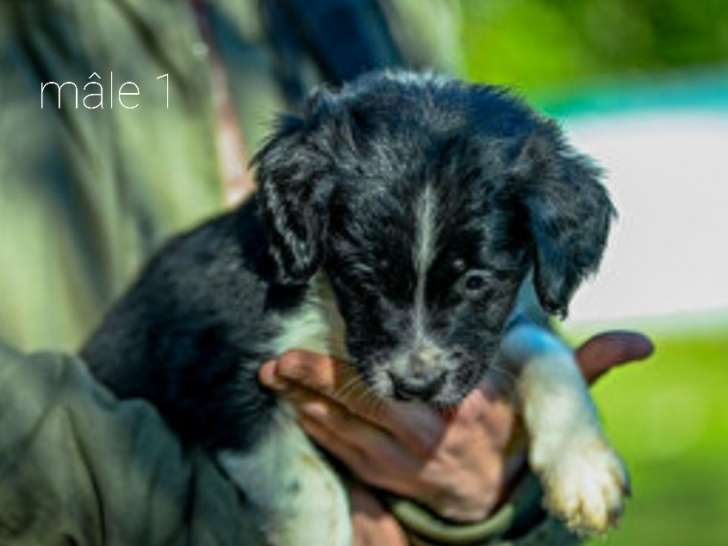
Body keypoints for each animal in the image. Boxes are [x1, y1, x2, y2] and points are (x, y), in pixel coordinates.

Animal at [82, 70, 628, 540]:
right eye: (364, 276)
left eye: (476, 281)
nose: (416, 385)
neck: (330, 315)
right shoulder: (213, 372)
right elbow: (311, 487)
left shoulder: (485, 341)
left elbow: (544, 347)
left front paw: (584, 469)